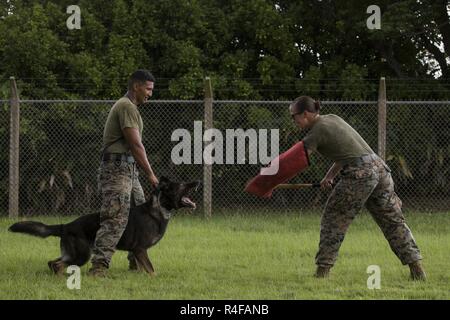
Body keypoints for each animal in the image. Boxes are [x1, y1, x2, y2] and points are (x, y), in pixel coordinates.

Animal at [6, 178, 200, 276]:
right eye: (182, 185)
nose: (197, 182)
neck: (159, 208)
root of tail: (66, 225)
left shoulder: (138, 252)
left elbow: (143, 268)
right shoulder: (140, 249)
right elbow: (152, 270)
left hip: (72, 254)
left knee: (53, 263)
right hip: (81, 255)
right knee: (58, 265)